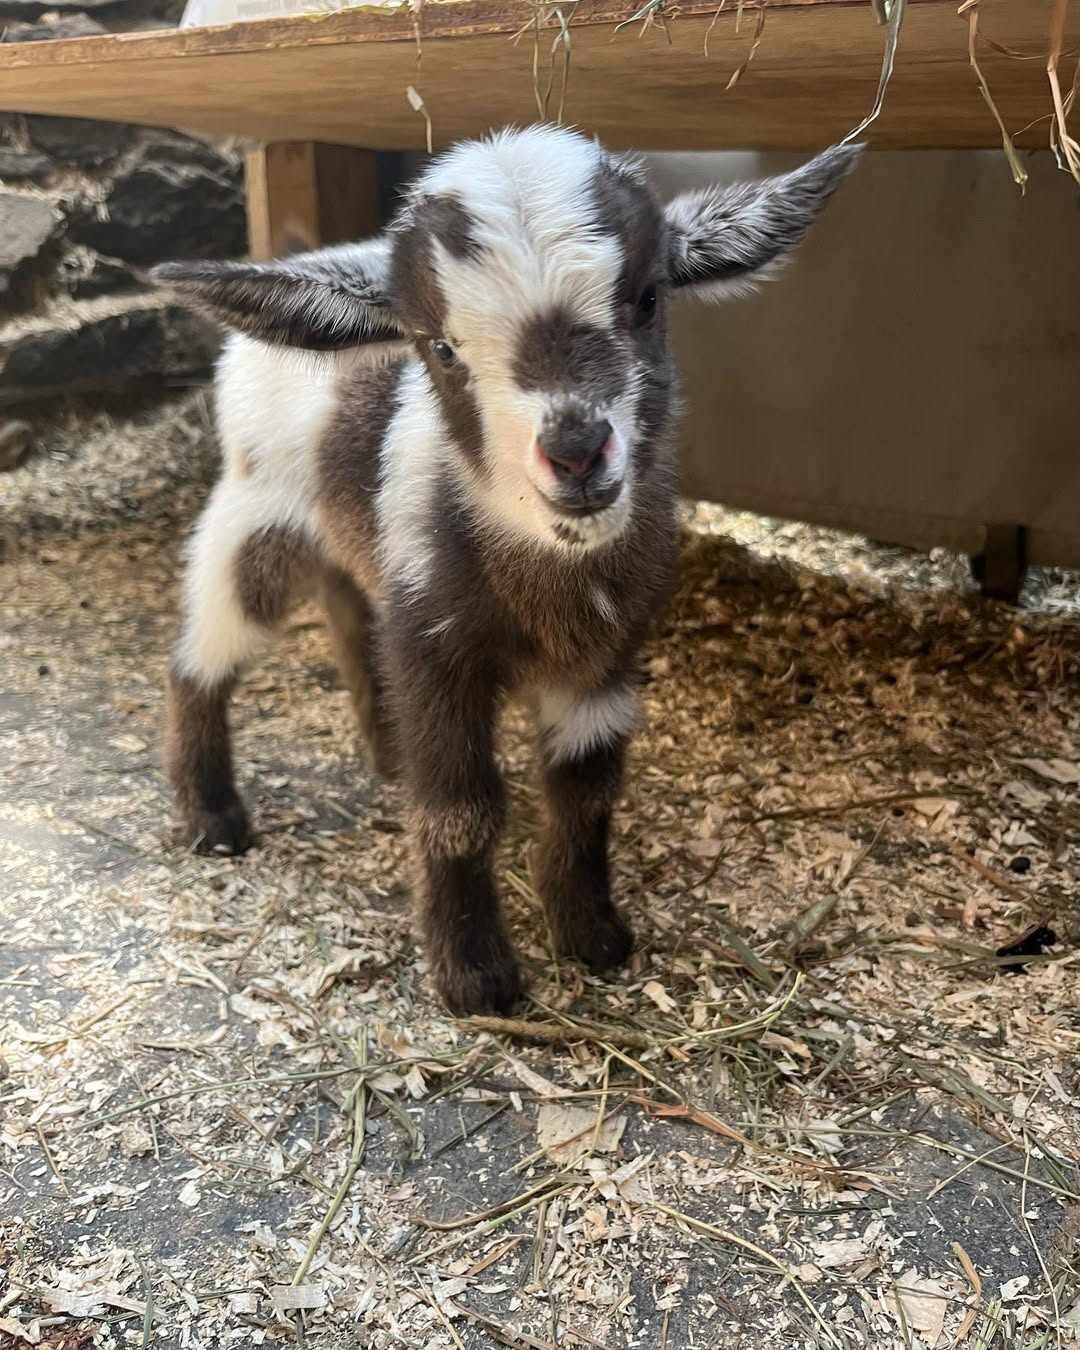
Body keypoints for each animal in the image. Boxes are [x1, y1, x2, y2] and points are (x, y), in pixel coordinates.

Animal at [153, 125, 858, 1014]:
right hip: (253, 510)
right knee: (200, 655)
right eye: (441, 347)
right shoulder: (437, 647)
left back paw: (383, 754)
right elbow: (458, 807)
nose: (576, 451)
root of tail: (305, 255)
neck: (549, 575)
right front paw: (475, 977)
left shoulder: (607, 659)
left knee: (349, 612)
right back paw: (213, 820)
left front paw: (591, 934)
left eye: (648, 299)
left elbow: (587, 792)